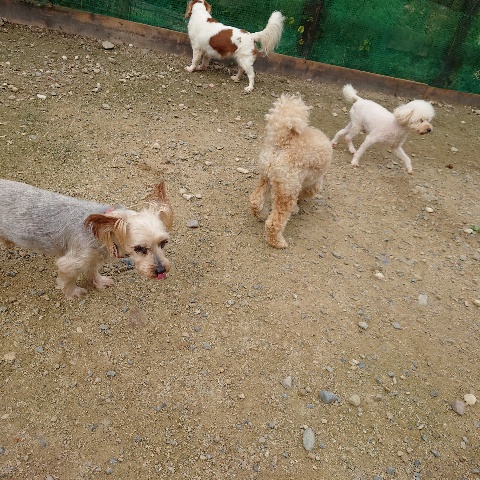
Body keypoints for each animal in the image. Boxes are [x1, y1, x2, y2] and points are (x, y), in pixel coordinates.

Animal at [0, 179, 173, 298]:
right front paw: (73, 292)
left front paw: (99, 282)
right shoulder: (72, 262)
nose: (161, 270)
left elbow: (92, 271)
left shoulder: (91, 257)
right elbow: (67, 279)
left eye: (163, 243)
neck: (103, 233)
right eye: (139, 248)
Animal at [250, 94, 332, 248]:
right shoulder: (312, 183)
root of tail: (283, 142)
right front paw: (296, 207)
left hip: (266, 176)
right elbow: (305, 193)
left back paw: (261, 214)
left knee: (255, 199)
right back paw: (278, 242)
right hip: (287, 188)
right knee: (274, 223)